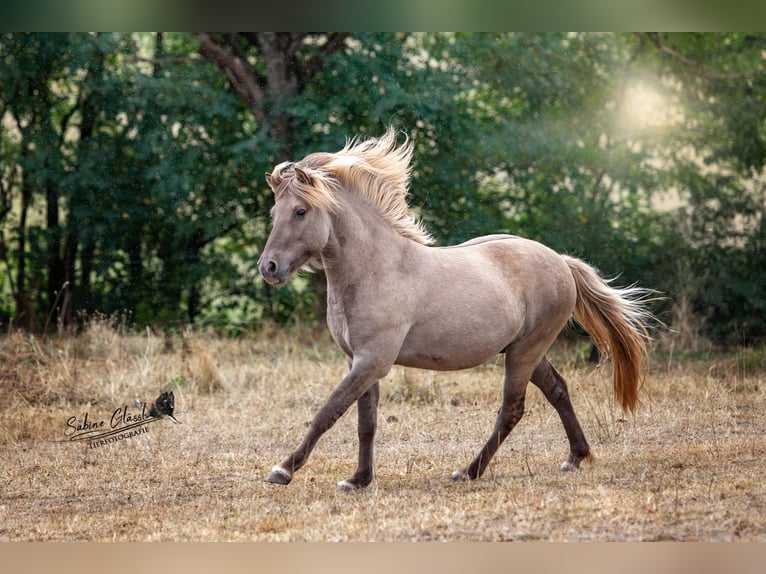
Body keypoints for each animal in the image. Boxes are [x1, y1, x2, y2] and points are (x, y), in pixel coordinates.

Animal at [257, 128, 654, 490]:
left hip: (525, 351)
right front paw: (359, 479)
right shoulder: (360, 361)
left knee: (512, 409)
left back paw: (469, 471)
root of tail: (561, 261)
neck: (375, 268)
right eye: (275, 212)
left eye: (301, 211)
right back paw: (575, 457)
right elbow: (365, 422)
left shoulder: (372, 360)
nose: (269, 267)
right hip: (527, 350)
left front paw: (283, 470)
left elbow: (328, 412)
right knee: (557, 390)